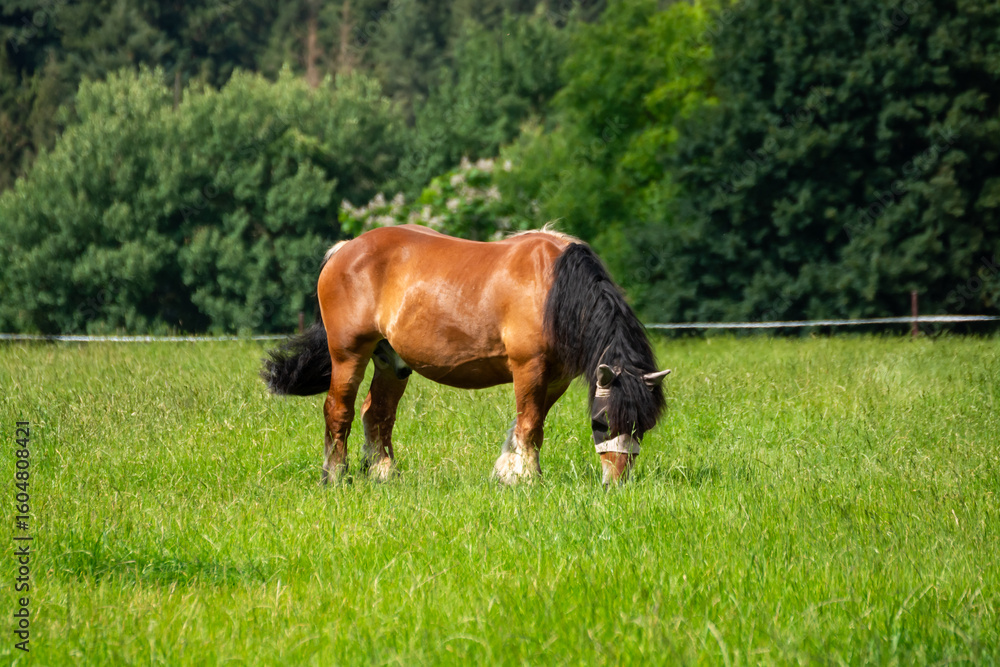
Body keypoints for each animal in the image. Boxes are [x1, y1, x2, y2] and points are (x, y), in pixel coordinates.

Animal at [261, 224, 670, 487]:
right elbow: (530, 425)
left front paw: (508, 472)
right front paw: (527, 479)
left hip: (392, 363)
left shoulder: (555, 378)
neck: (553, 288)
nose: (617, 482)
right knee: (338, 410)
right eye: (602, 422)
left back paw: (384, 473)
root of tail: (345, 248)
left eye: (642, 425)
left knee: (377, 414)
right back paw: (335, 475)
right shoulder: (529, 367)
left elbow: (527, 423)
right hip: (348, 353)